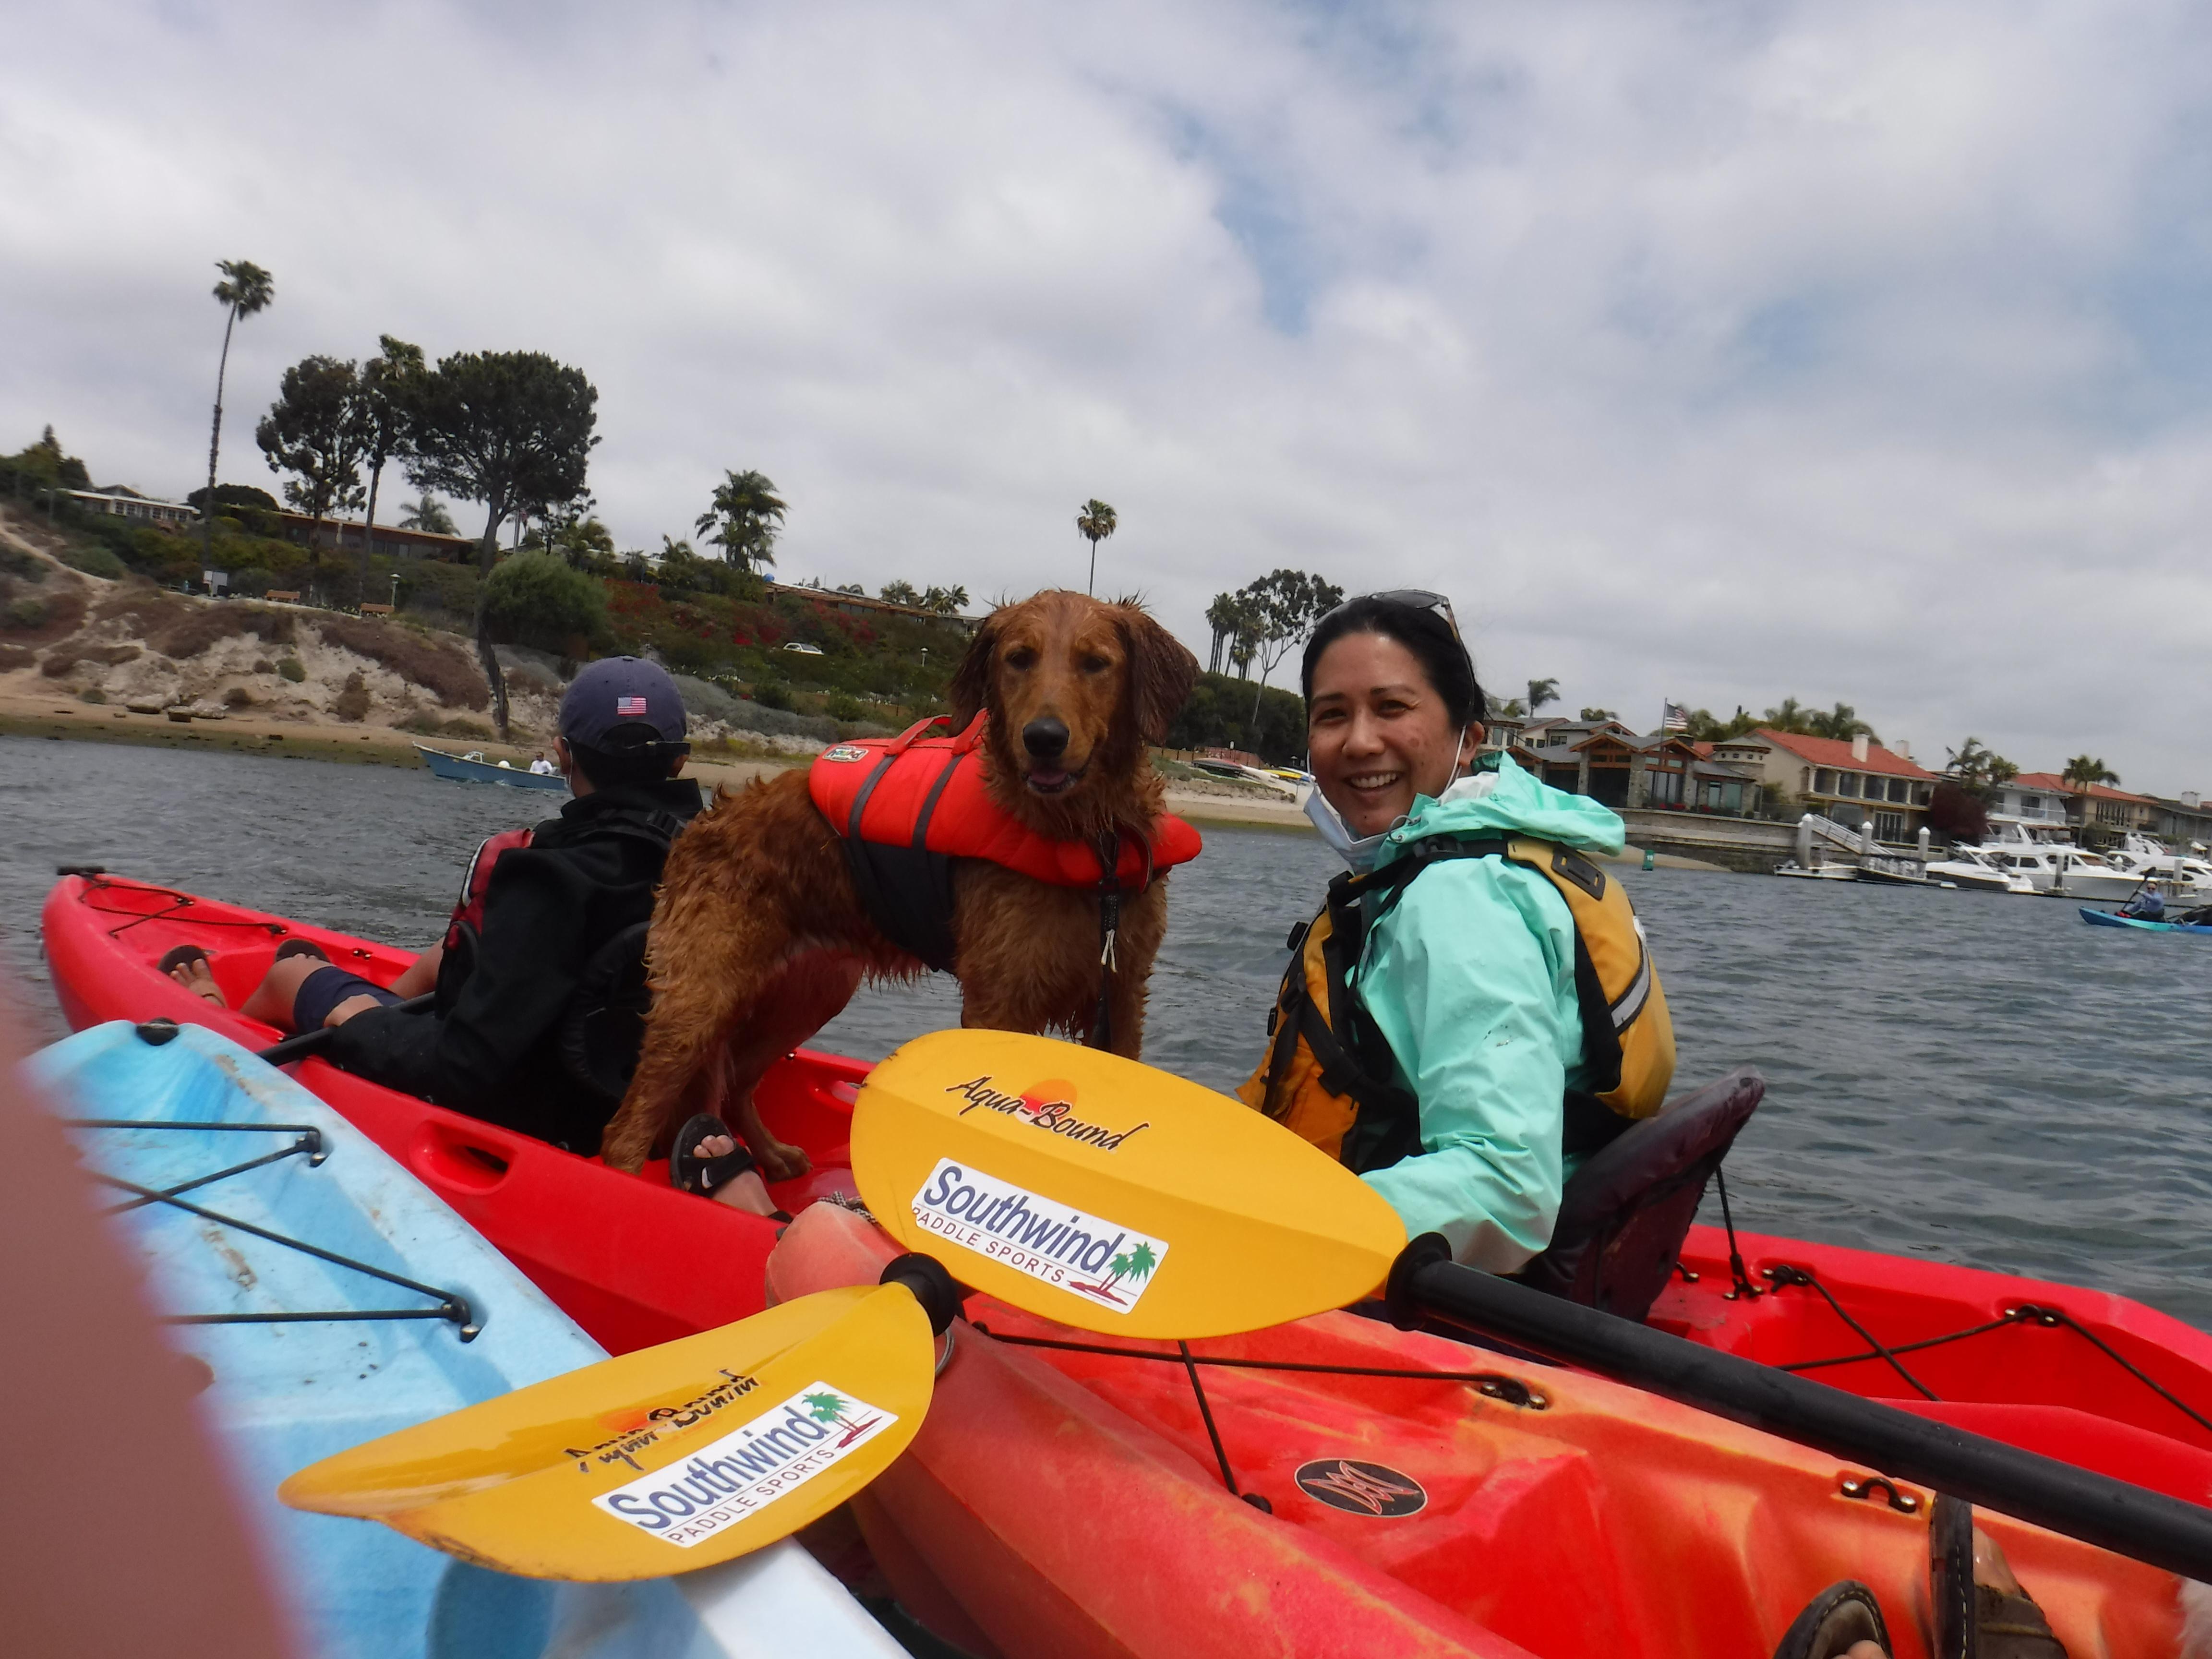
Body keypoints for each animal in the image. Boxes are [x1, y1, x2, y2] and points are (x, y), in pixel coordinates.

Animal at [599, 589, 1199, 1177]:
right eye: (1019, 658)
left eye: (1095, 663)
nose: (1044, 739)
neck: (1090, 842)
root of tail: (703, 822)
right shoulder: (999, 1001)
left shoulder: (1122, 997)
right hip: (702, 996)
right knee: (625, 1130)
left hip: (810, 992)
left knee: (737, 1084)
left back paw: (771, 1157)